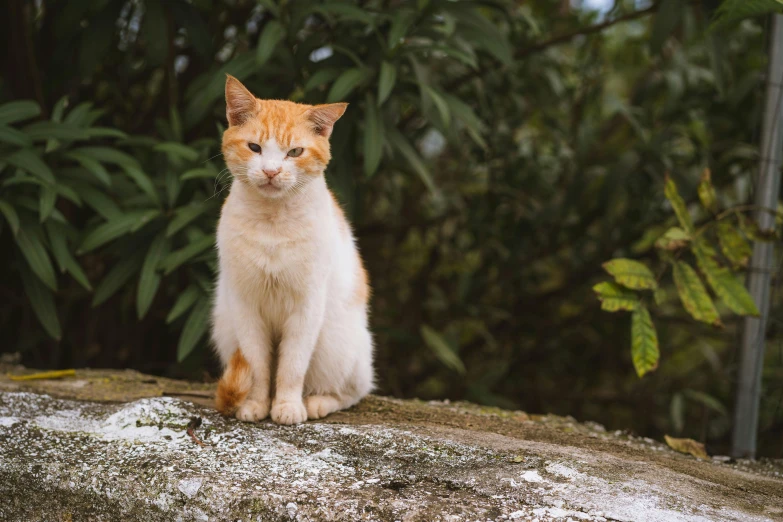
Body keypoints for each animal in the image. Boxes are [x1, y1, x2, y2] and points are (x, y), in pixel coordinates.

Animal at [213, 75, 376, 422]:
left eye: (295, 152)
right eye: (254, 147)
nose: (272, 171)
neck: (273, 222)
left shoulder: (306, 307)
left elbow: (292, 366)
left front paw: (287, 406)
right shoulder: (246, 306)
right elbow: (258, 367)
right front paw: (256, 405)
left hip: (335, 346)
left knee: (354, 391)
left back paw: (317, 403)